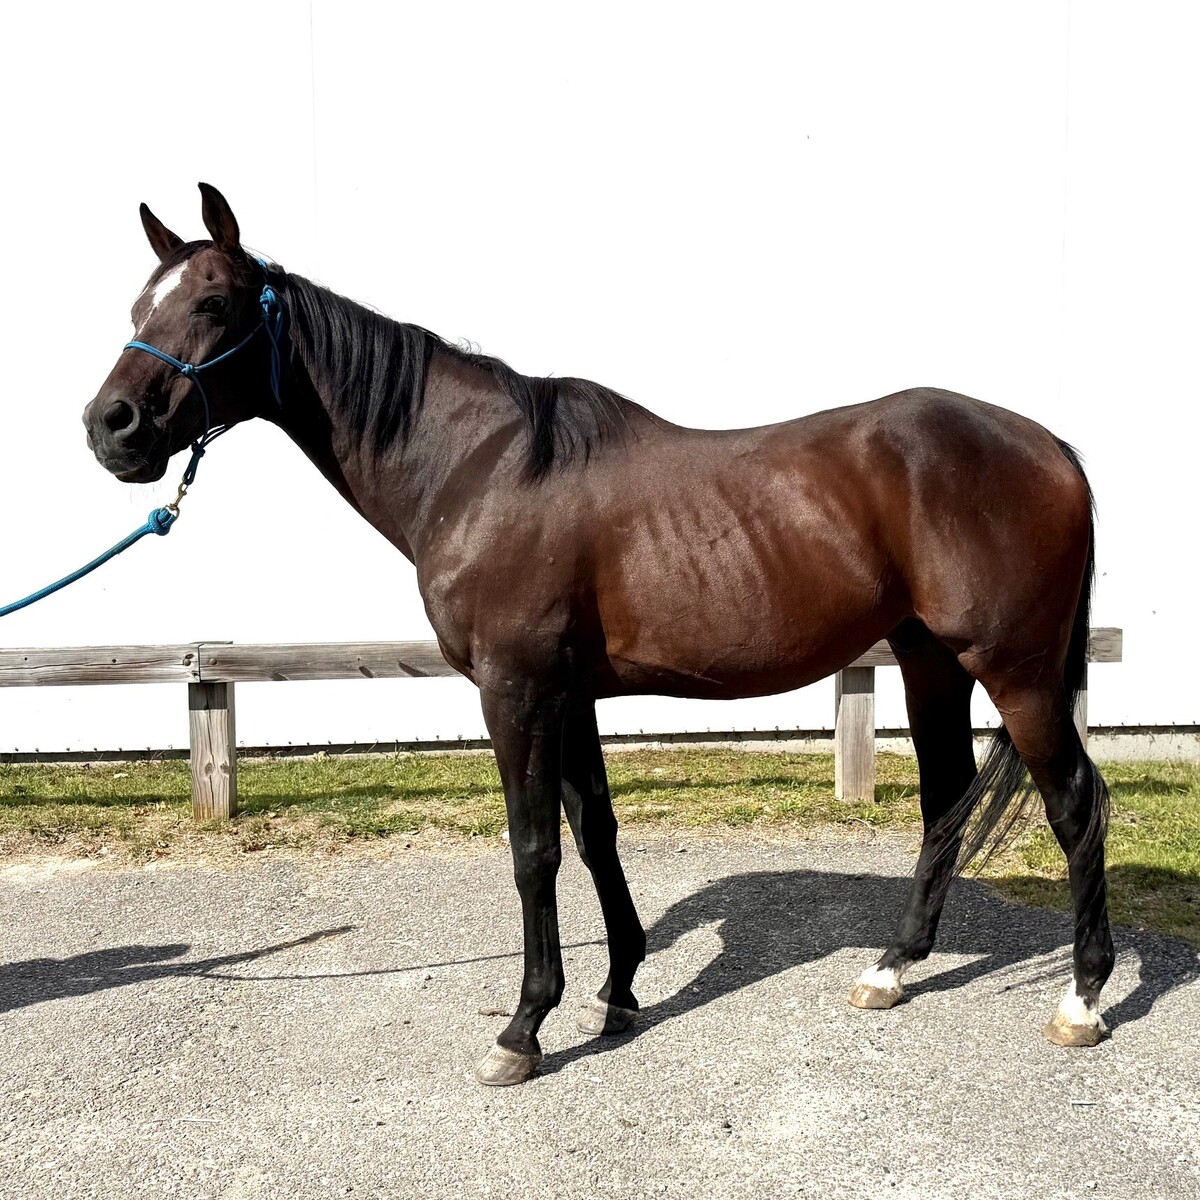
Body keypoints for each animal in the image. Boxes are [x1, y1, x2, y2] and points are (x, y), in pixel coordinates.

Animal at [82, 184, 1113, 1086]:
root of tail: (1052, 447)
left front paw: (522, 1028)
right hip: (930, 661)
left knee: (1074, 804)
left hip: (1015, 670)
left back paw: (1082, 999)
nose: (110, 426)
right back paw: (891, 969)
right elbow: (595, 834)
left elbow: (533, 848)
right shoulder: (569, 693)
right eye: (140, 302)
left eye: (214, 303)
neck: (477, 469)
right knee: (945, 802)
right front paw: (618, 991)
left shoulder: (516, 691)